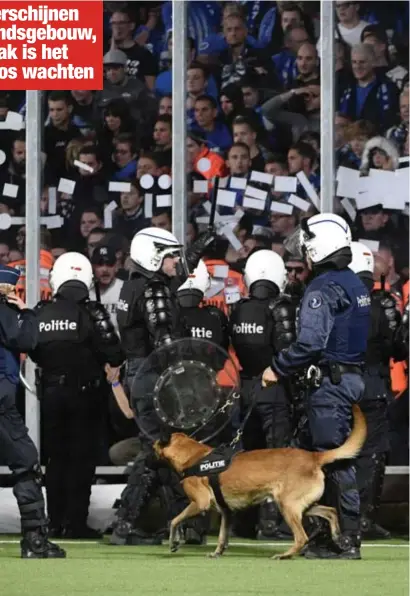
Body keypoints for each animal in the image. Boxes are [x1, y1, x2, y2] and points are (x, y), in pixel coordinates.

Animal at [154, 406, 366, 560]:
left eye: (154, 445)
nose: (148, 454)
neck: (192, 456)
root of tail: (313, 456)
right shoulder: (227, 513)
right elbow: (222, 537)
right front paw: (217, 552)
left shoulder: (199, 503)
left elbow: (175, 520)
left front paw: (173, 542)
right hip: (301, 506)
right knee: (331, 512)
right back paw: (338, 537)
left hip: (287, 506)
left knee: (302, 537)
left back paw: (284, 555)